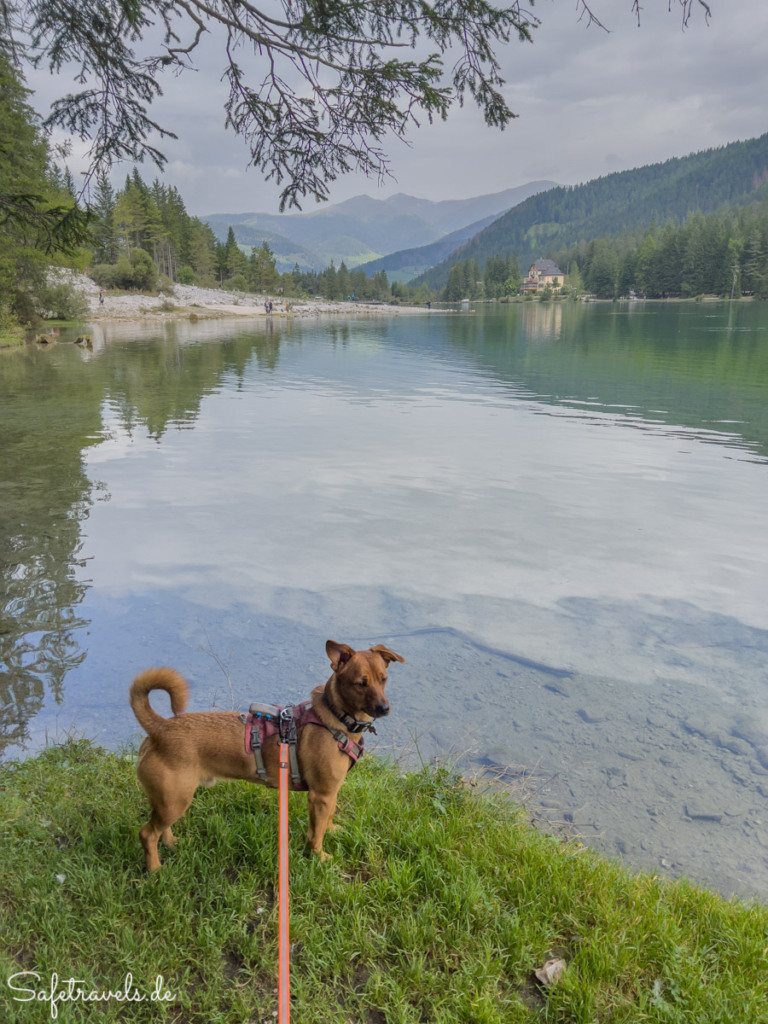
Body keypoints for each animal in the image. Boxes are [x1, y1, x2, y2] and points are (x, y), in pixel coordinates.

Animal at [129, 638, 405, 872]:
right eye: (360, 683)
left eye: (384, 679)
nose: (384, 708)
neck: (336, 718)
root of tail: (160, 728)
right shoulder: (321, 796)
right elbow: (316, 834)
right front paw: (319, 857)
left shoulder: (330, 794)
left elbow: (325, 821)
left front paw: (332, 830)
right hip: (175, 800)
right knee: (147, 834)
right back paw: (155, 870)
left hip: (168, 801)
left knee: (160, 829)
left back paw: (171, 843)